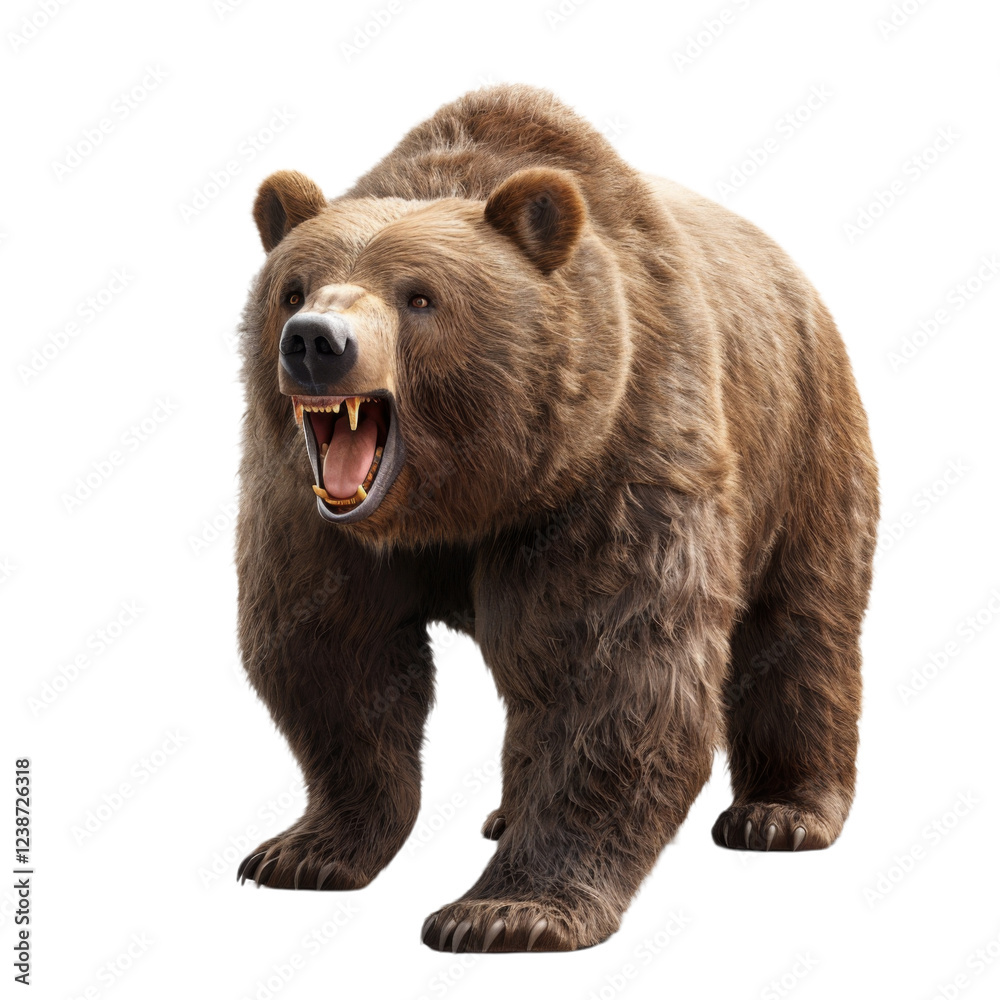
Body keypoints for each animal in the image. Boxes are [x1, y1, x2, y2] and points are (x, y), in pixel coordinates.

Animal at [234, 84, 879, 953]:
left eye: (420, 295)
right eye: (294, 287)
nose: (314, 342)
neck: (463, 496)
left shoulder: (615, 456)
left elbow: (609, 671)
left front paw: (504, 911)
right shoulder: (314, 515)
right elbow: (332, 654)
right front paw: (302, 850)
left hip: (802, 438)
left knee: (800, 627)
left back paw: (781, 814)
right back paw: (506, 812)